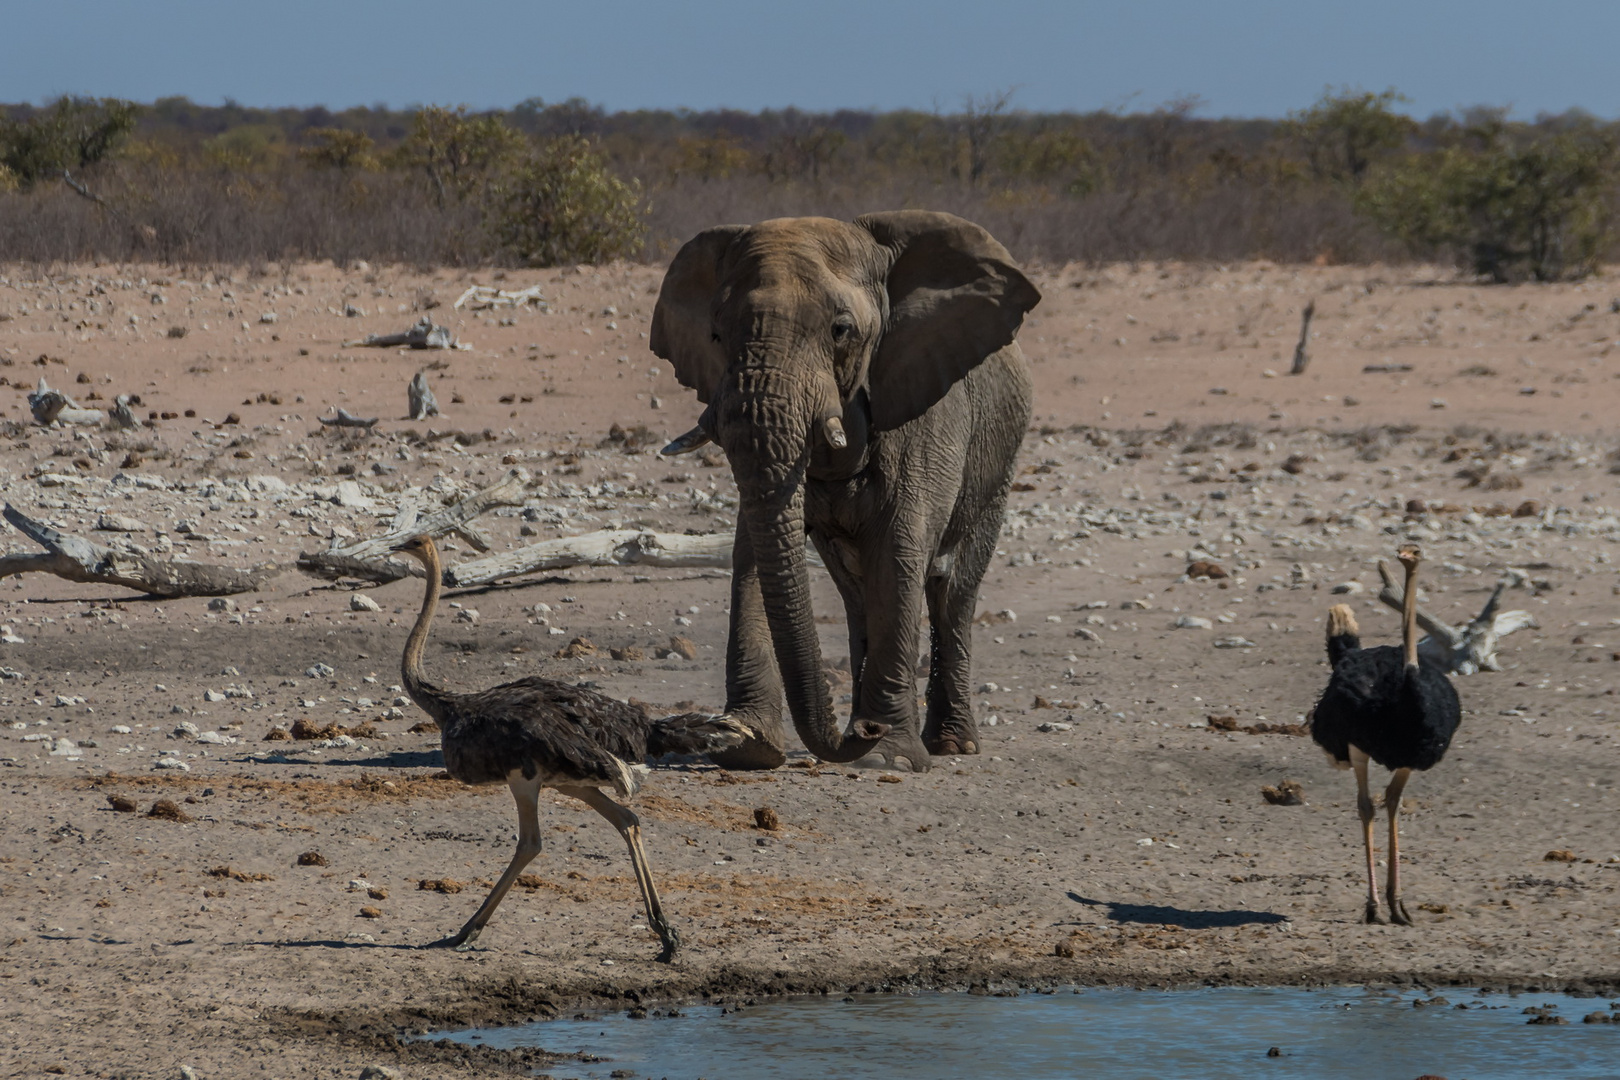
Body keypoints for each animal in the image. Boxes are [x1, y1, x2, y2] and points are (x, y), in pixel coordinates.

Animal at [648, 208, 1036, 767]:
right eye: (716, 336)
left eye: (841, 330)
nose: (864, 733)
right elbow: (752, 553)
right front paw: (746, 743)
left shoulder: (924, 413)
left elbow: (898, 552)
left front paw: (885, 756)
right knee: (858, 598)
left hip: (999, 458)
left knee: (952, 593)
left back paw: (949, 744)